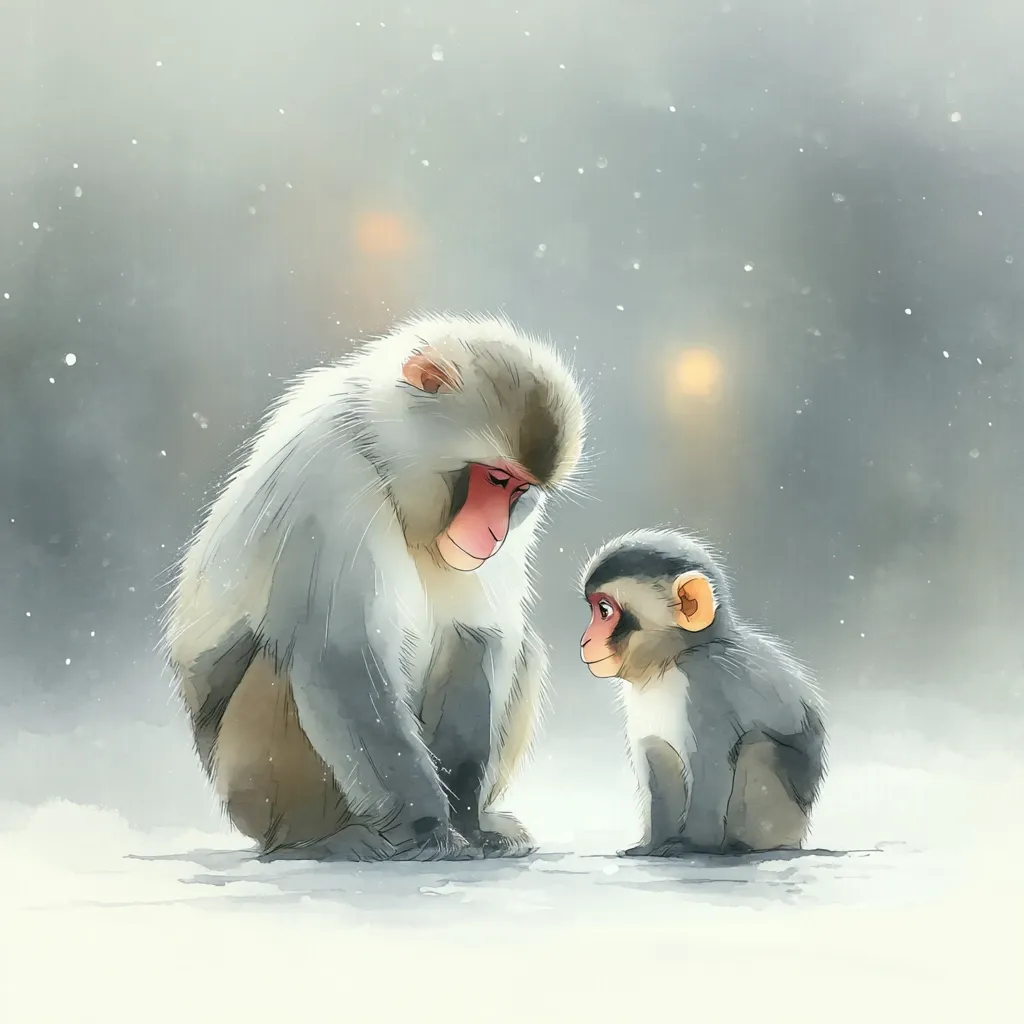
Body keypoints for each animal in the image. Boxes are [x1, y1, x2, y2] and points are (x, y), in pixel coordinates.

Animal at [163, 312, 586, 862]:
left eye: (521, 489)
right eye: (495, 478)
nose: (493, 532)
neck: (383, 458)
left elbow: (477, 633)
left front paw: (468, 822)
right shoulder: (330, 482)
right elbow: (340, 658)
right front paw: (429, 829)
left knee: (524, 647)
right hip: (249, 787)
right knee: (284, 660)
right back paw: (318, 841)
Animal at [578, 529, 827, 858]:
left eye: (605, 611)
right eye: (594, 609)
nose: (585, 639)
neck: (672, 661)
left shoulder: (706, 689)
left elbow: (711, 766)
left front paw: (692, 844)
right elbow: (658, 757)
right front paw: (653, 844)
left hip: (781, 815)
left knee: (756, 747)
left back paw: (736, 846)